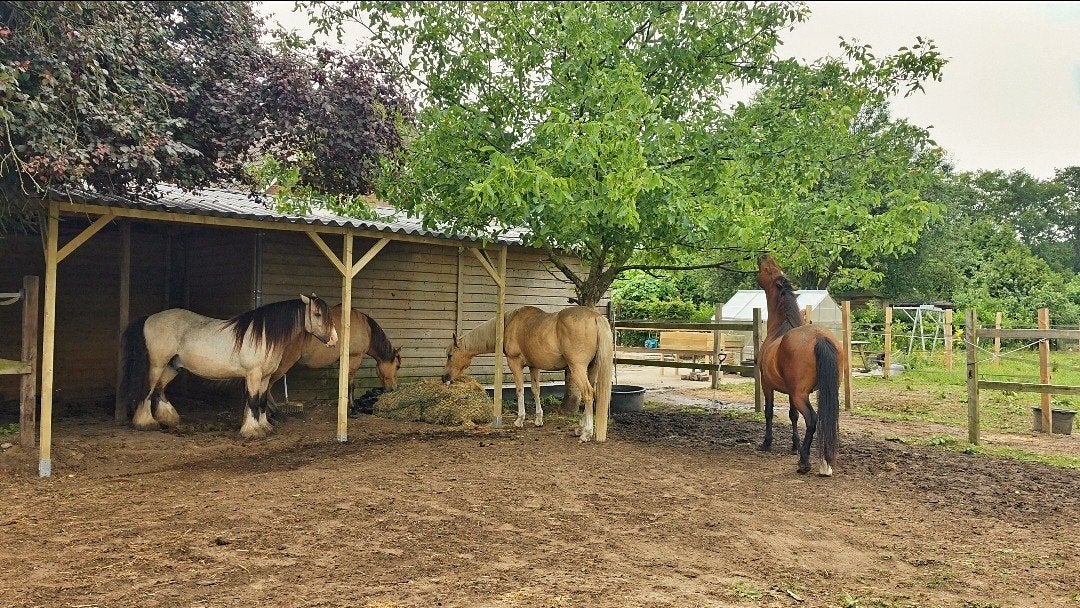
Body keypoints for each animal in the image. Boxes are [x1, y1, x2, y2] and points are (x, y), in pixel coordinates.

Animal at [119, 294, 338, 439]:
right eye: (317, 314)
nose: (333, 340)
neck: (263, 335)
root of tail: (150, 318)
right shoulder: (253, 374)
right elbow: (253, 400)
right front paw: (252, 431)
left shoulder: (265, 376)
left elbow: (261, 401)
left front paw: (264, 427)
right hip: (157, 364)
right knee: (148, 390)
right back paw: (146, 423)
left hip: (172, 367)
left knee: (159, 389)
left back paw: (169, 419)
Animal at [267, 305, 402, 406]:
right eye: (397, 366)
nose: (393, 389)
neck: (366, 328)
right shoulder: (354, 358)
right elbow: (350, 384)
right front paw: (352, 407)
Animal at [442, 305, 613, 442]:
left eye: (450, 355)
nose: (444, 378)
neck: (509, 323)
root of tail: (596, 317)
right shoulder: (533, 367)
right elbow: (535, 390)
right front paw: (538, 419)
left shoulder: (515, 363)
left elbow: (520, 390)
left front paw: (520, 419)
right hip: (591, 368)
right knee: (592, 393)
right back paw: (580, 428)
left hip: (577, 368)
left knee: (588, 394)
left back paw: (586, 433)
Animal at [756, 255, 841, 476]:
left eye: (769, 269)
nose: (763, 256)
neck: (781, 327)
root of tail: (820, 337)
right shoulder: (789, 391)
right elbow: (793, 416)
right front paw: (794, 445)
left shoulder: (766, 384)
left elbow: (769, 412)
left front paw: (766, 443)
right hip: (824, 391)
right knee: (825, 419)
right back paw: (825, 464)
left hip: (800, 395)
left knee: (812, 420)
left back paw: (805, 462)